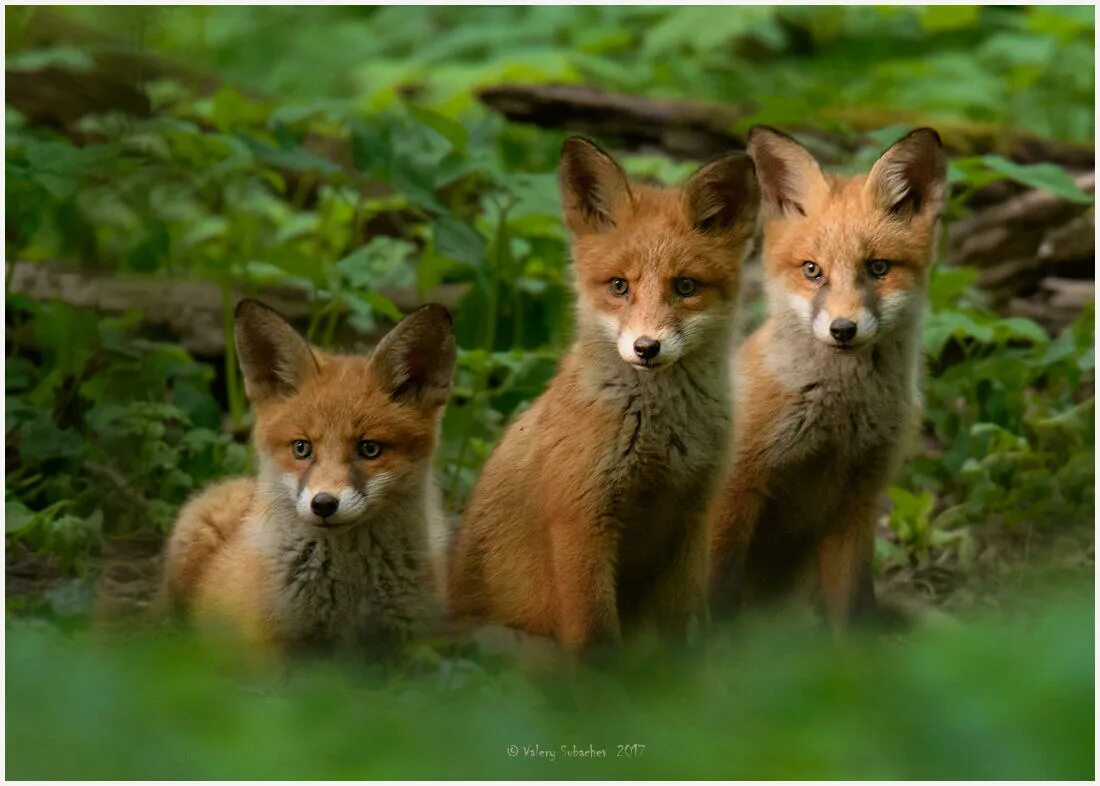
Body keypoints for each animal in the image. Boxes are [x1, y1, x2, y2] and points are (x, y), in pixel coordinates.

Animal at [444, 136, 756, 650]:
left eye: (685, 286)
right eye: (619, 286)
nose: (646, 348)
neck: (661, 438)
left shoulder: (694, 515)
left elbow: (681, 632)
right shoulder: (581, 518)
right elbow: (596, 638)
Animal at [712, 125, 946, 624]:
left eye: (877, 268)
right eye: (812, 270)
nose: (843, 329)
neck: (841, 421)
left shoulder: (858, 501)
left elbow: (854, 612)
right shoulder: (733, 491)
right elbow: (715, 598)